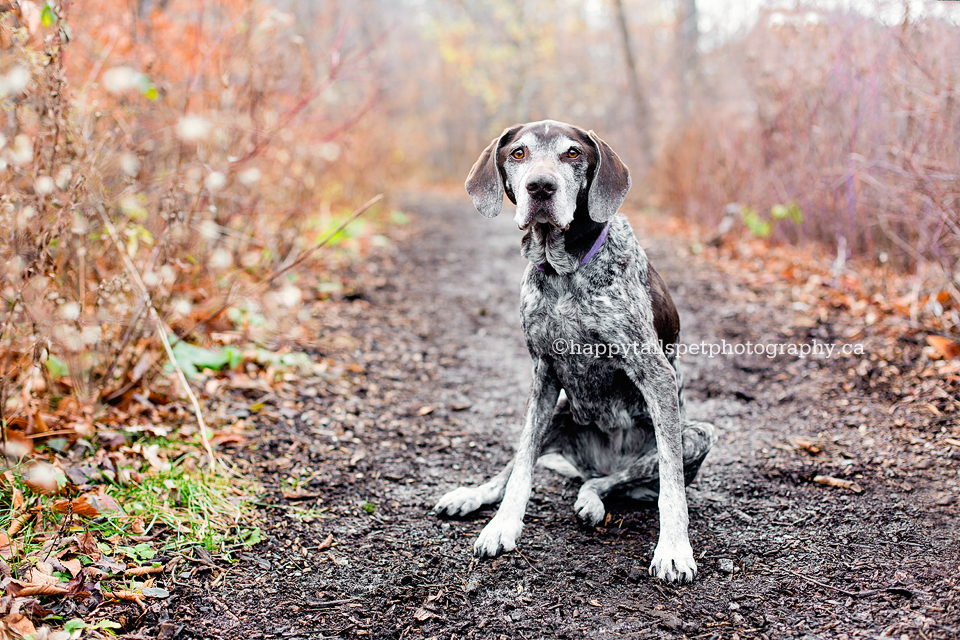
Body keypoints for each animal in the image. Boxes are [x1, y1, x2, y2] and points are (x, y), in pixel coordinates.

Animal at [432, 121, 716, 584]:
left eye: (572, 154)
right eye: (518, 153)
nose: (540, 186)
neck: (565, 270)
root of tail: (596, 464)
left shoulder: (656, 374)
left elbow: (672, 486)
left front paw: (674, 549)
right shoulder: (544, 373)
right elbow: (521, 468)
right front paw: (502, 526)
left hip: (696, 434)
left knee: (613, 481)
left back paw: (591, 500)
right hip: (560, 413)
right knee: (519, 464)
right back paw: (472, 495)